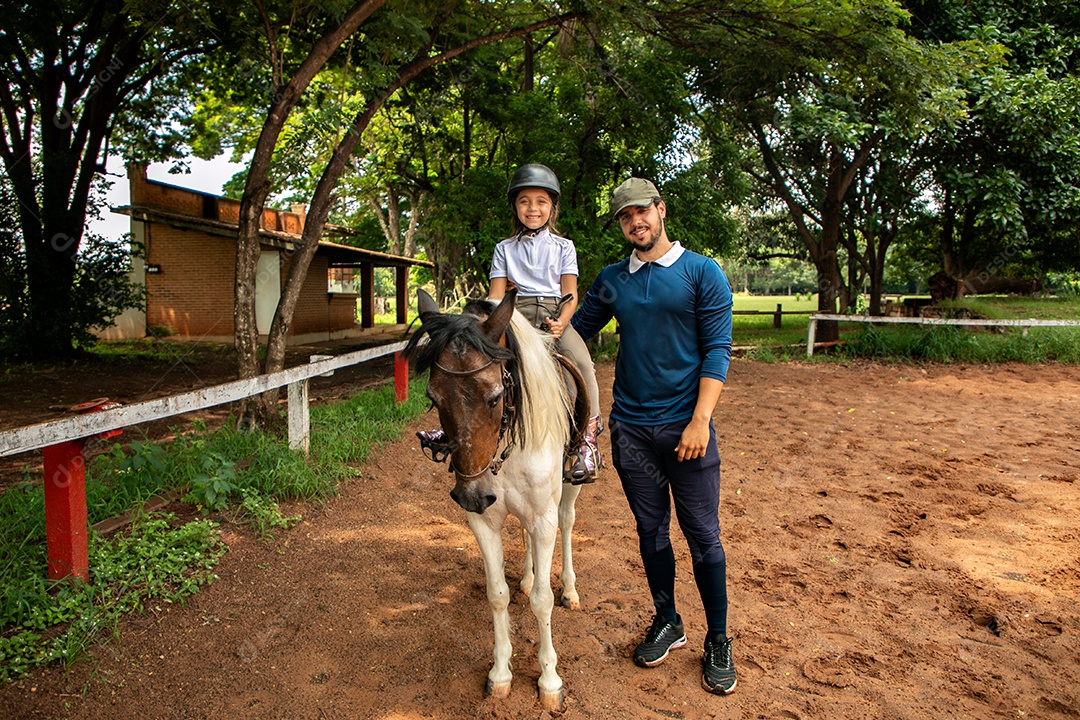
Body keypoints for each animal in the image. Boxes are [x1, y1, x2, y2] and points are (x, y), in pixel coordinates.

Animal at [404, 287, 582, 711]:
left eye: (495, 395)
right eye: (433, 397)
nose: (471, 494)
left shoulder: (543, 518)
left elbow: (542, 601)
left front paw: (549, 681)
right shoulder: (483, 520)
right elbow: (497, 595)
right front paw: (500, 674)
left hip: (569, 487)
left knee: (567, 524)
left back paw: (569, 590)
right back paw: (529, 576)